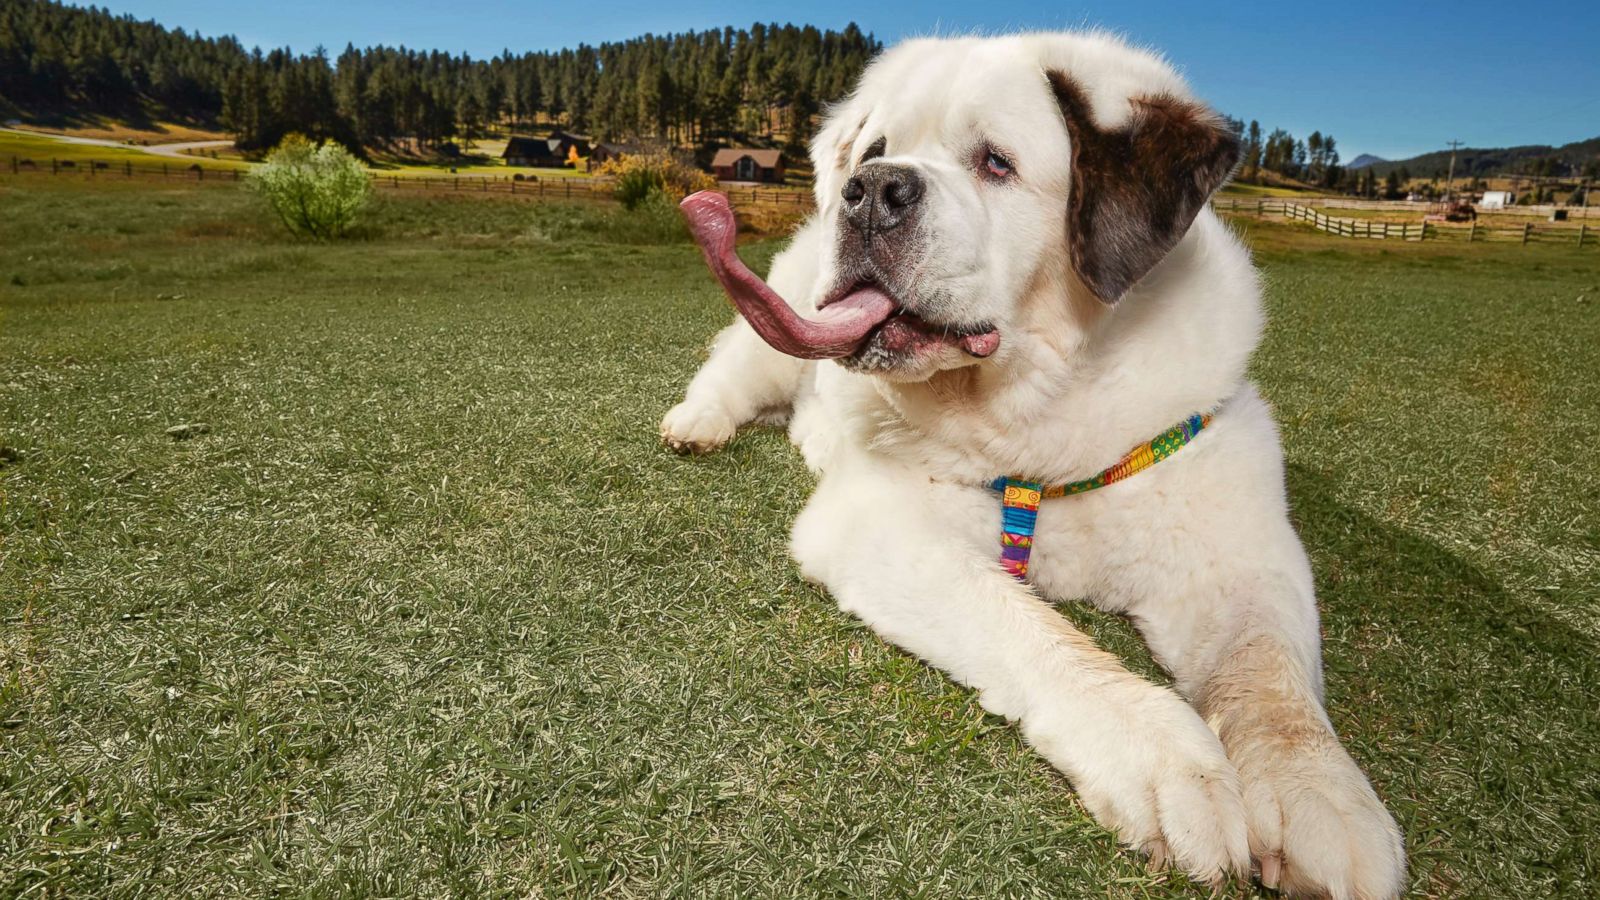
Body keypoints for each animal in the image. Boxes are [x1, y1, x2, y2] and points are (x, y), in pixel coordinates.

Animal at [656, 31, 1408, 890]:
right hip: (777, 327)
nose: (870, 188)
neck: (1050, 406)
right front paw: (1168, 760)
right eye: (875, 149)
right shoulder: (882, 524)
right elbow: (1035, 630)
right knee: (735, 364)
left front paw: (1324, 798)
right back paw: (696, 423)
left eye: (995, 162)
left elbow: (1270, 672)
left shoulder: (1234, 543)